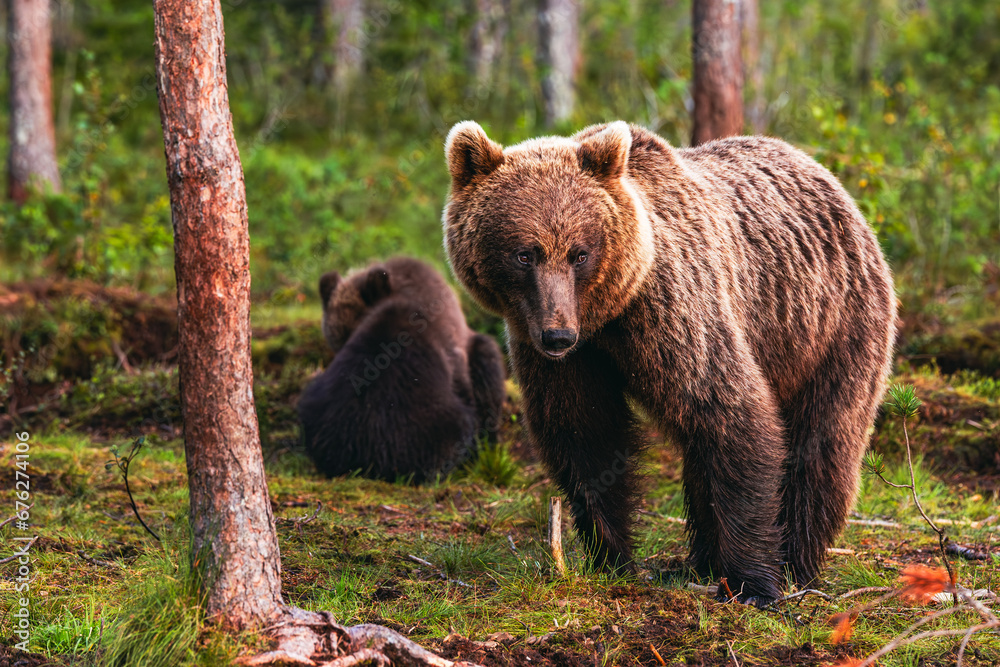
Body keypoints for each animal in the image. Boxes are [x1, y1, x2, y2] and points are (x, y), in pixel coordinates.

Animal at [442, 120, 896, 604]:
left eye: (579, 253)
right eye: (524, 253)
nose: (557, 334)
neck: (608, 315)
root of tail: (827, 178)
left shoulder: (674, 312)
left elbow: (733, 415)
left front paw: (753, 581)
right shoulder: (561, 355)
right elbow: (586, 435)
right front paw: (611, 558)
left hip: (830, 324)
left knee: (823, 441)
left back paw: (797, 563)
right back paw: (701, 562)